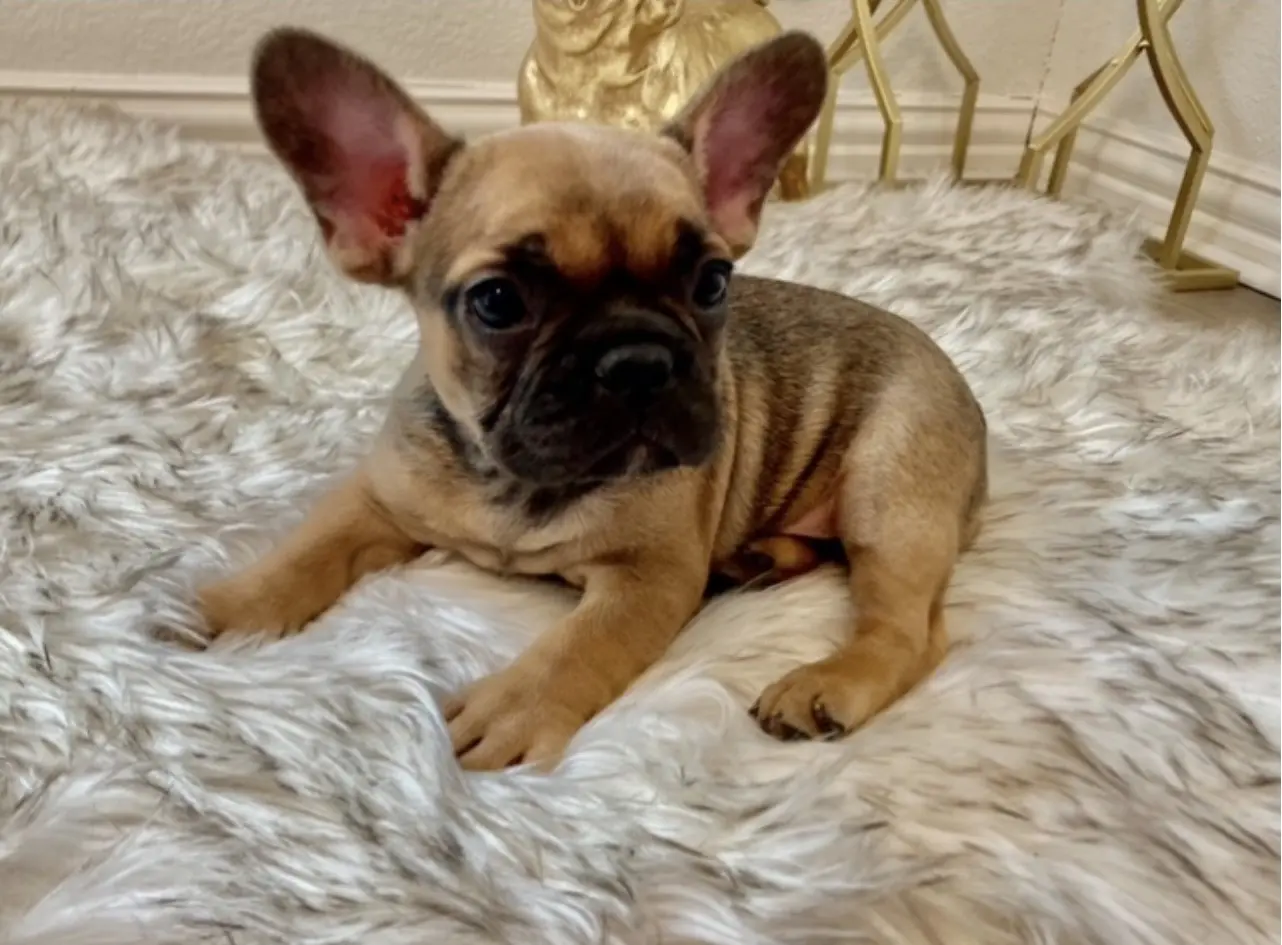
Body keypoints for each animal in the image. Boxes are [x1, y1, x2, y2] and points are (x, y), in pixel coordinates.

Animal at [194, 25, 984, 769]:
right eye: (497, 301)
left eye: (712, 283)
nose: (637, 361)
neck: (518, 485)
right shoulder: (377, 499)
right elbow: (306, 550)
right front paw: (226, 610)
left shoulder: (647, 576)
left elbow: (577, 645)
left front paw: (511, 710)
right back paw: (754, 562)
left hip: (887, 492)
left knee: (912, 632)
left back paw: (826, 684)